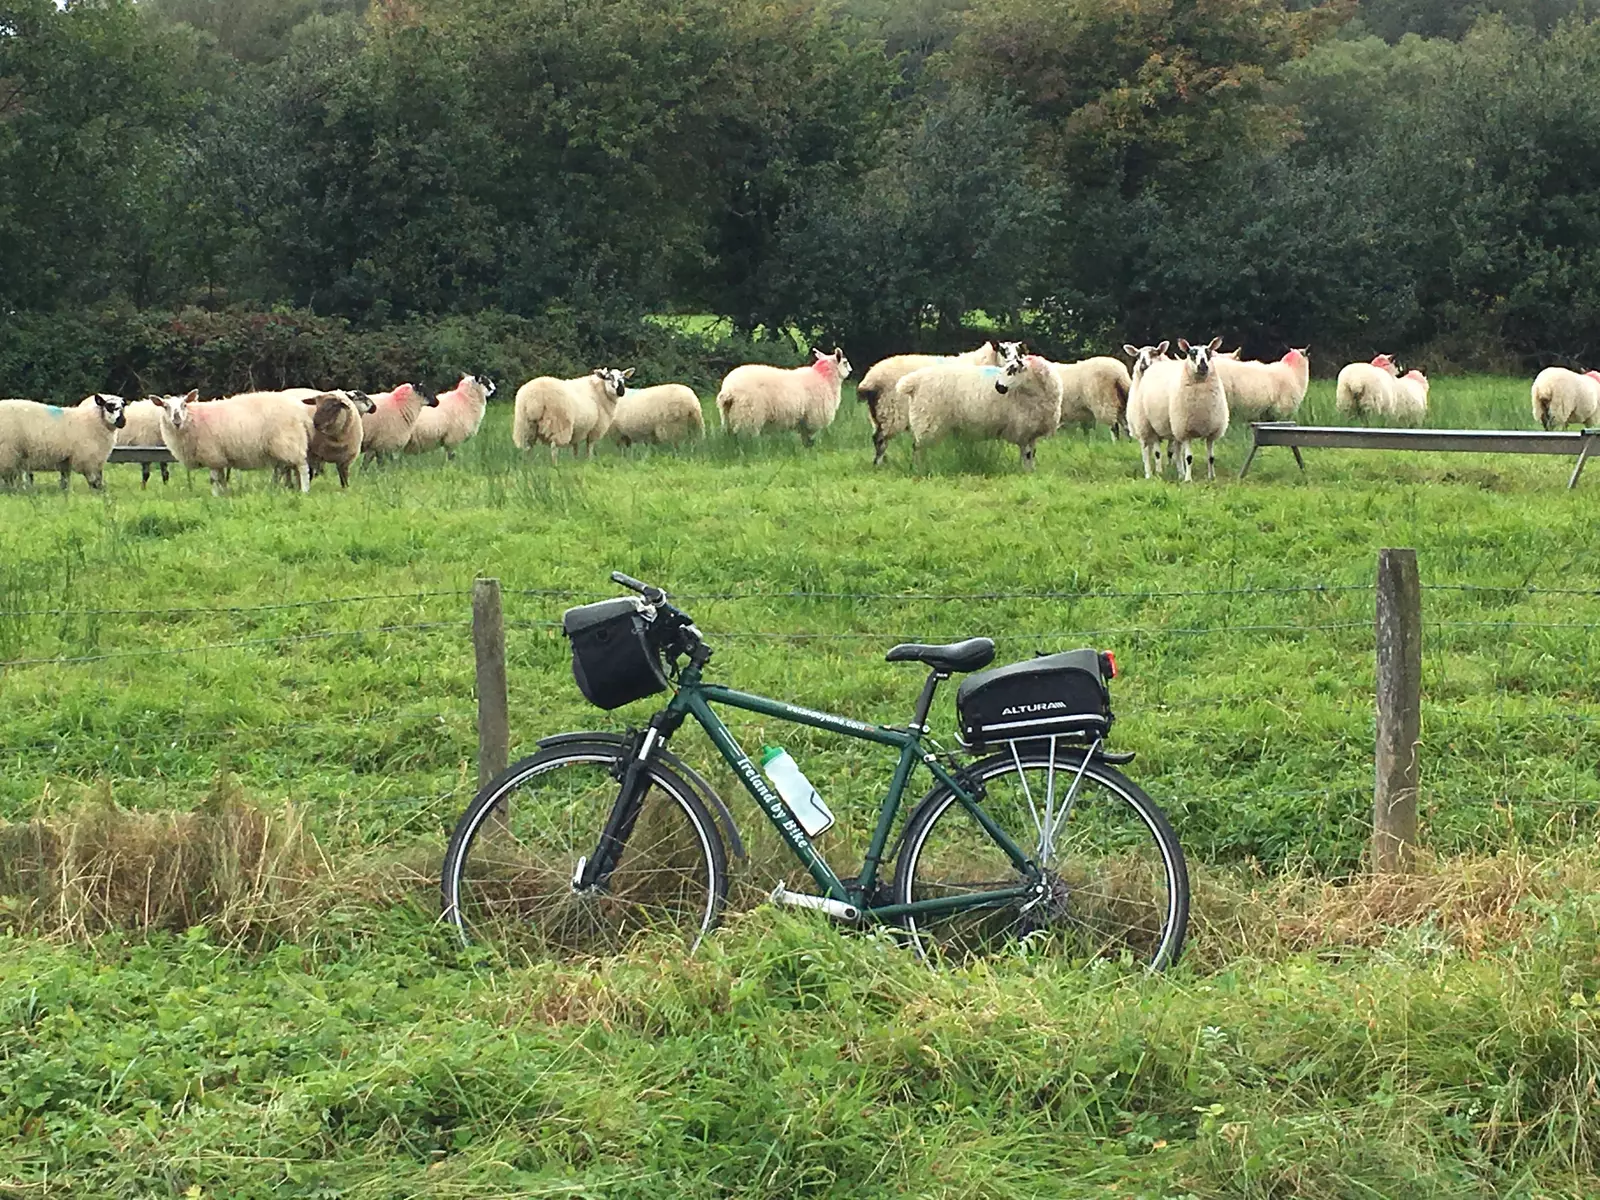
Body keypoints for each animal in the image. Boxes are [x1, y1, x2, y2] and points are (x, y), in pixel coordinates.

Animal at [154, 389, 319, 496]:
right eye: (165, 407)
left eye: (184, 405)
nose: (176, 421)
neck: (193, 420)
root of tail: (301, 411)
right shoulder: (219, 458)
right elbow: (221, 479)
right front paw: (225, 494)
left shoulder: (212, 455)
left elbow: (213, 479)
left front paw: (215, 496)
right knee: (292, 468)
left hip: (289, 441)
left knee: (302, 467)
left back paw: (304, 491)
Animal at [717, 348, 851, 444]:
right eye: (845, 362)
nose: (850, 370)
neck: (824, 378)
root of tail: (729, 389)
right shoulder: (814, 418)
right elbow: (810, 437)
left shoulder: (804, 420)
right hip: (750, 415)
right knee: (748, 439)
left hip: (729, 415)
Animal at [902, 352, 1063, 471]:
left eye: (1012, 370)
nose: (998, 387)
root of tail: (914, 381)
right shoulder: (1023, 429)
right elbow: (1027, 454)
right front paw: (1026, 472)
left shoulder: (1032, 432)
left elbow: (1031, 454)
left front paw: (1030, 471)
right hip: (927, 420)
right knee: (917, 448)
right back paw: (919, 469)